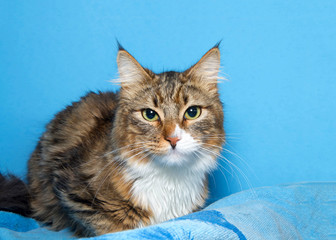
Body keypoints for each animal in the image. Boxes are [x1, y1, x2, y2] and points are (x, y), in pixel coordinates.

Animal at [1, 44, 226, 237]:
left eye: (192, 112)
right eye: (150, 115)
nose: (173, 138)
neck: (170, 179)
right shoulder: (70, 191)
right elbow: (110, 225)